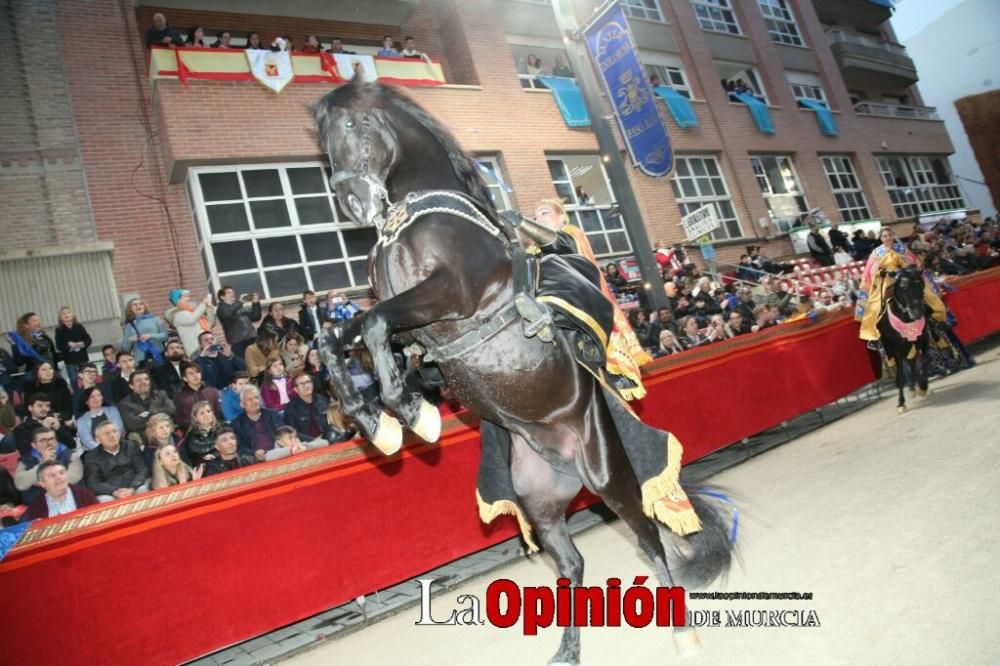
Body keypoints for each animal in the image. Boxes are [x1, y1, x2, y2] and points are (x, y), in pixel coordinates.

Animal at [312, 80, 736, 660]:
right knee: (573, 563)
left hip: (608, 475)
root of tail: (567, 462)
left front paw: (411, 413)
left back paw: (683, 635)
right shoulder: (404, 322)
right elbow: (334, 338)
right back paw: (567, 650)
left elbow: (374, 326)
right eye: (322, 141)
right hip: (539, 500)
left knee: (649, 539)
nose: (353, 199)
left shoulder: (450, 293)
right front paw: (377, 423)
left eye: (355, 124)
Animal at [876, 264, 928, 410]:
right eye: (904, 287)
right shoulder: (896, 350)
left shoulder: (922, 340)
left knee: (911, 362)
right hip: (892, 349)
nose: (918, 313)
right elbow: (900, 374)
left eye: (921, 284)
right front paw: (901, 403)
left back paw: (913, 387)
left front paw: (922, 386)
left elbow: (923, 361)